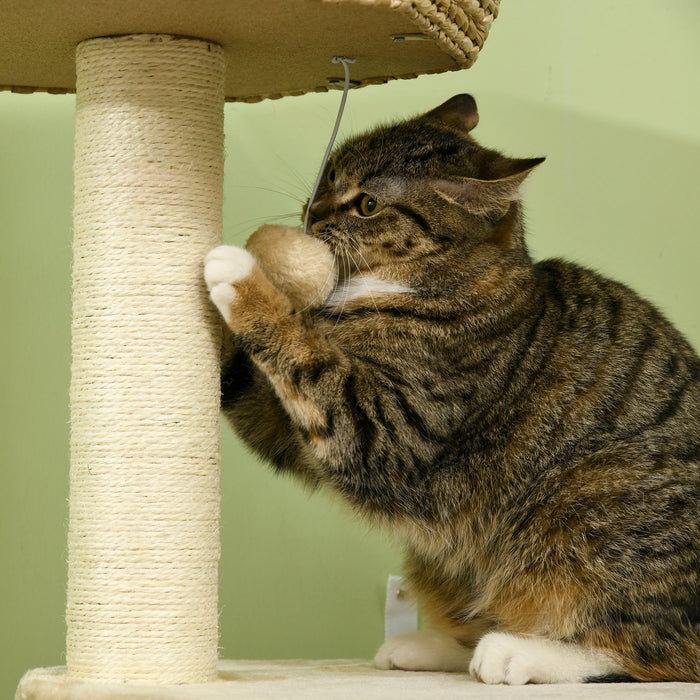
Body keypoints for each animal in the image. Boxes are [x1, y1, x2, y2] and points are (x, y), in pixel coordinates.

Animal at [205, 94, 696, 684]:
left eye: (368, 204)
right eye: (331, 174)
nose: (315, 212)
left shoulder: (386, 428)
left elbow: (303, 352)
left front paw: (240, 272)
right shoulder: (285, 429)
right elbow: (247, 383)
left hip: (593, 502)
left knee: (645, 649)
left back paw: (516, 653)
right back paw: (425, 647)